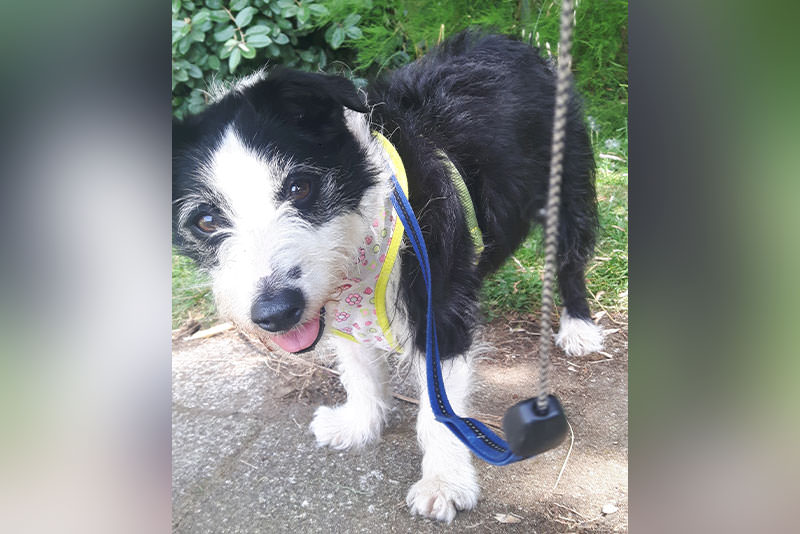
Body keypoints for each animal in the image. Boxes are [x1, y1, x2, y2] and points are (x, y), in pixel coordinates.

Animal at [173, 30, 600, 524]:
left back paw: (579, 327)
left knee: (569, 258)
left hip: (565, 184)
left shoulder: (439, 306)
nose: (276, 313)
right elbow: (358, 366)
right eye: (205, 221)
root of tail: (509, 40)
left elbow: (438, 406)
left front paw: (444, 482)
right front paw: (358, 424)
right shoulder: (337, 304)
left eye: (300, 187)